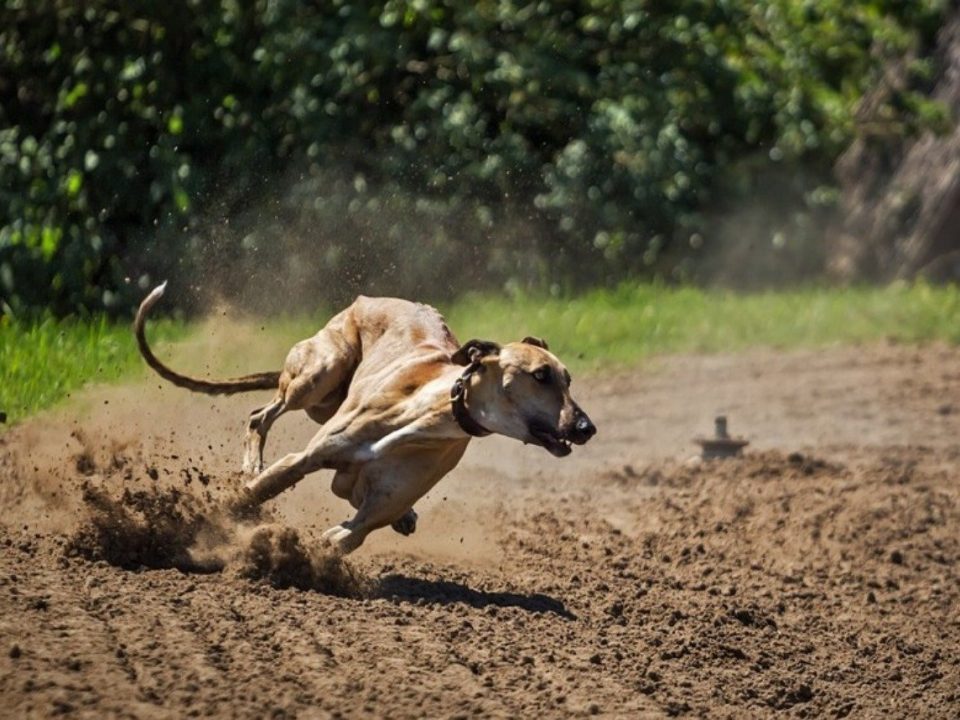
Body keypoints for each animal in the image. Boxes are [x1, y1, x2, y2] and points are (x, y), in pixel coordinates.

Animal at [134, 284, 592, 556]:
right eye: (541, 375)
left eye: (569, 379)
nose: (587, 428)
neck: (429, 413)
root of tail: (367, 300)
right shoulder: (304, 459)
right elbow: (256, 491)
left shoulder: (372, 511)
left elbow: (346, 534)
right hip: (319, 373)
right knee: (260, 416)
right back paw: (251, 464)